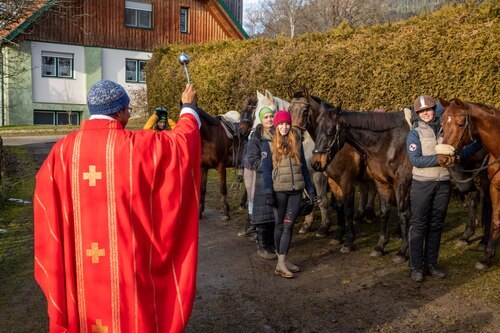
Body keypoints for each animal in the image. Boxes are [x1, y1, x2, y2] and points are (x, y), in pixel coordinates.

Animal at [310, 102, 412, 264]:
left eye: (331, 131)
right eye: (317, 128)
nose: (316, 163)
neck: (388, 143)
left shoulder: (401, 182)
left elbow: (402, 213)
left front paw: (402, 251)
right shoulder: (379, 182)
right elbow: (383, 211)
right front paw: (380, 246)